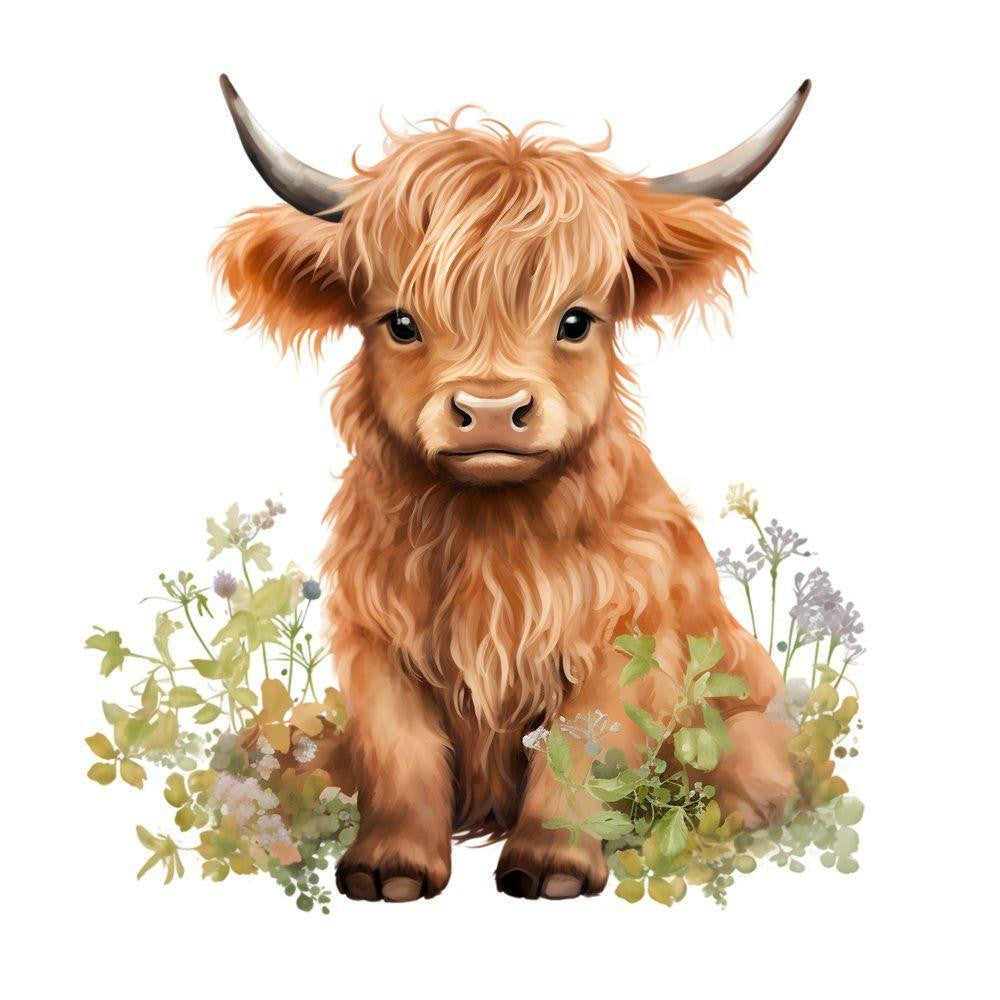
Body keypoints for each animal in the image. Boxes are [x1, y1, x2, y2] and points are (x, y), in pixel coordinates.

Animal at [212, 76, 811, 902]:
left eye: (577, 320)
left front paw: (554, 862)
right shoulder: (376, 642)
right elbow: (399, 752)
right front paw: (391, 866)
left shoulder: (622, 640)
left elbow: (583, 748)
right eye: (400, 322)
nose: (492, 410)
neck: (487, 534)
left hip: (747, 735)